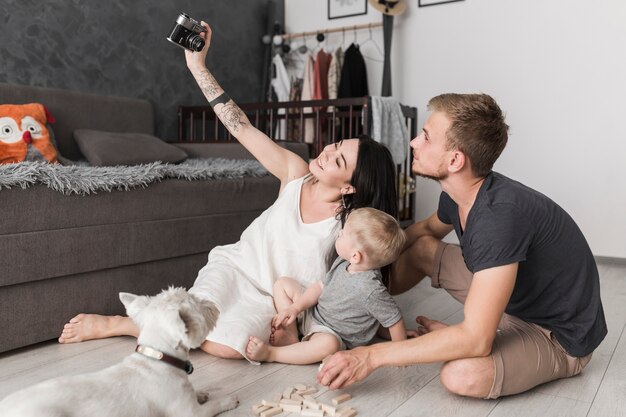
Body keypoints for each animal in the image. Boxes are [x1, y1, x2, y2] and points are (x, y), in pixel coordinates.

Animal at [0, 286, 238, 416]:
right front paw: (229, 401)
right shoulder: (189, 412)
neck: (157, 357)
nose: (213, 304)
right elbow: (214, 406)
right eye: (197, 303)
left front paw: (200, 392)